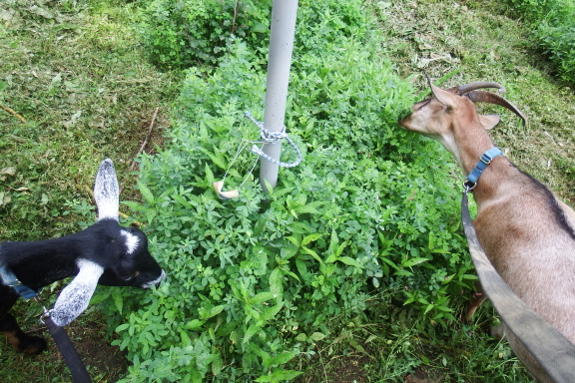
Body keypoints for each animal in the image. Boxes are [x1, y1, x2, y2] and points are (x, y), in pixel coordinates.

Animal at [398, 79, 575, 382]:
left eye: (428, 101)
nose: (402, 116)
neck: (506, 186)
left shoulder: (489, 252)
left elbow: (479, 294)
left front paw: (467, 319)